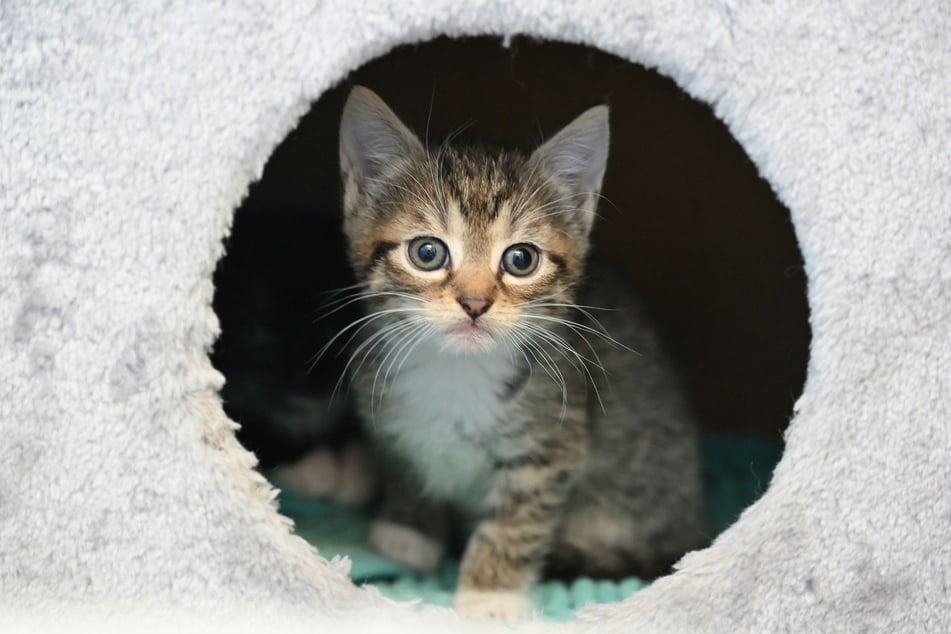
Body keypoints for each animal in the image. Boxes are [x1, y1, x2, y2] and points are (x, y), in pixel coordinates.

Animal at [334, 86, 708, 620]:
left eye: (520, 259)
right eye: (427, 253)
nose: (475, 302)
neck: (456, 373)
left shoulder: (550, 444)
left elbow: (514, 523)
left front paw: (489, 596)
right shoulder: (384, 411)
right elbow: (405, 466)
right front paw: (408, 530)